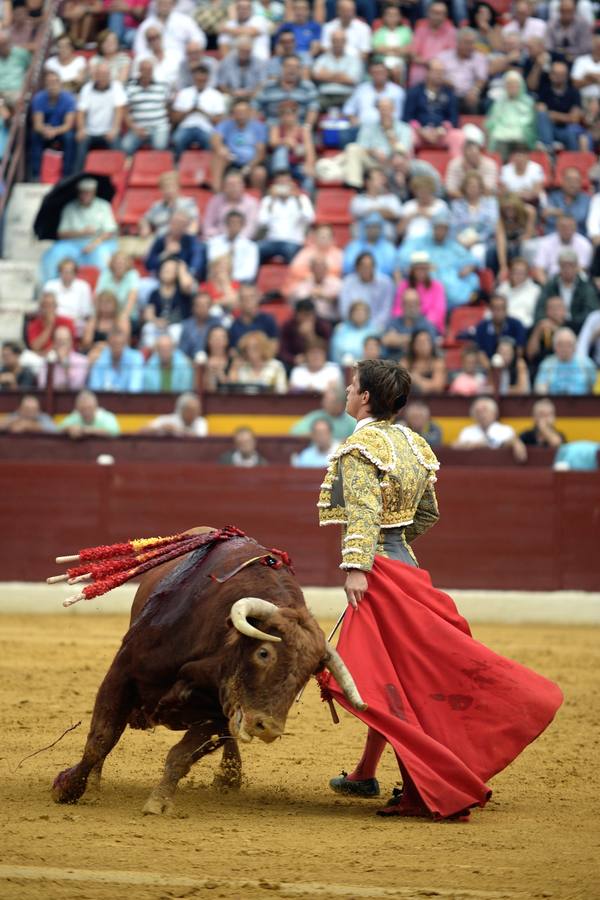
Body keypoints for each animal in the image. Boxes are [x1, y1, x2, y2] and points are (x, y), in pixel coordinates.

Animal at [51, 528, 364, 816]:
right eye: (263, 653)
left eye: (308, 673)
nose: (268, 728)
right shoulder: (122, 674)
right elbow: (101, 738)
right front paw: (67, 787)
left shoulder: (218, 713)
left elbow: (181, 755)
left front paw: (159, 802)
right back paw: (94, 783)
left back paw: (229, 777)